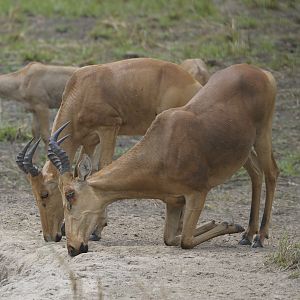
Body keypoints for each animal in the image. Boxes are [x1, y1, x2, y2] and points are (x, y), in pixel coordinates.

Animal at [47, 63, 278, 255]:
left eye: (70, 195)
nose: (73, 248)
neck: (164, 145)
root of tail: (260, 73)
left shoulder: (198, 193)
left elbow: (186, 240)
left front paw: (230, 225)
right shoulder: (174, 202)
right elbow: (171, 238)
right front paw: (222, 225)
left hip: (263, 135)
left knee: (271, 172)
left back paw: (259, 237)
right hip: (245, 148)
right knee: (256, 174)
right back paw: (248, 234)